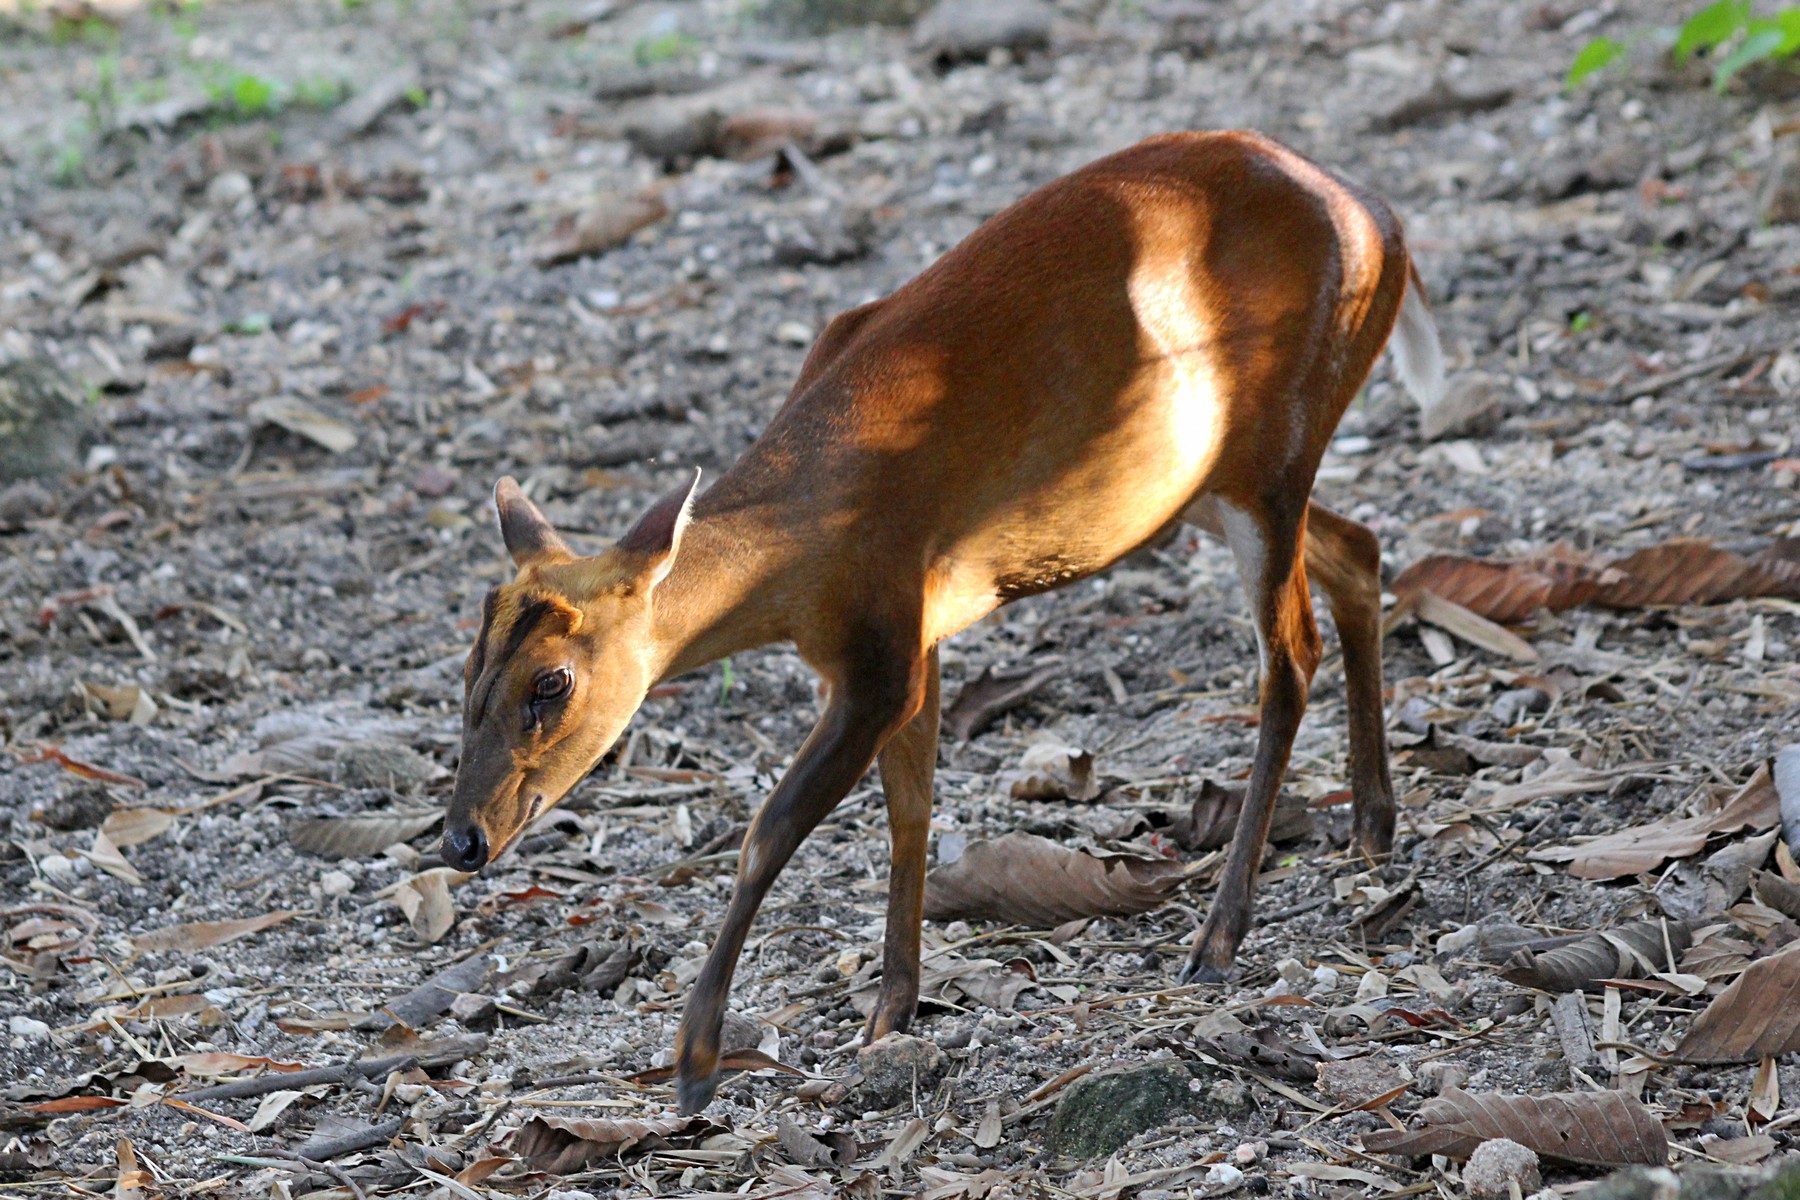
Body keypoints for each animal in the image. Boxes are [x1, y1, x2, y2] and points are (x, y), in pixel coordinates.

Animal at [446, 129, 1447, 1108]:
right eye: (467, 670)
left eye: (552, 681)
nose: (461, 840)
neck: (802, 539)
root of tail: (1386, 223)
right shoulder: (915, 643)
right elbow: (912, 812)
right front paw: (891, 1012)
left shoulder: (882, 650)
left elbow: (770, 829)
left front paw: (695, 1063)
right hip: (1207, 485)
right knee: (1359, 552)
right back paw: (1372, 824)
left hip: (1274, 447)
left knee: (1290, 657)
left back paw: (1219, 937)